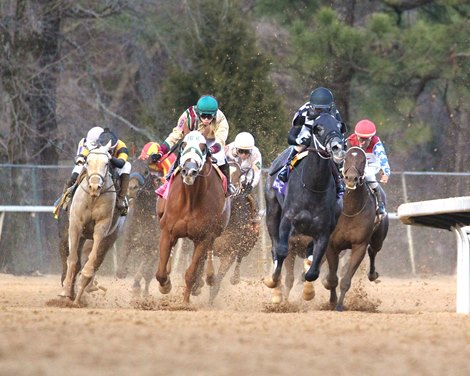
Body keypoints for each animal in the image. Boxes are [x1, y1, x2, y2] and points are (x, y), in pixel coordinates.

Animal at [114, 156, 164, 296]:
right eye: (131, 169)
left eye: (146, 171)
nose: (132, 188)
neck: (144, 217)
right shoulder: (128, 240)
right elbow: (120, 270)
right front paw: (124, 271)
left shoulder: (152, 249)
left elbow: (143, 270)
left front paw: (136, 288)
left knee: (148, 274)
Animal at [156, 131, 231, 304]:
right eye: (183, 145)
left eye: (203, 148)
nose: (189, 171)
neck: (190, 199)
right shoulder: (167, 230)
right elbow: (160, 273)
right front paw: (165, 286)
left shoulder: (204, 237)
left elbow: (191, 273)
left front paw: (185, 302)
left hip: (212, 233)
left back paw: (208, 278)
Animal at [208, 160, 260, 304]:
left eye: (238, 175)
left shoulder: (229, 254)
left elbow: (218, 278)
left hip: (247, 246)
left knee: (240, 258)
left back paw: (235, 278)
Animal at [264, 113, 346, 292]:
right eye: (318, 128)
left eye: (339, 125)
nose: (337, 147)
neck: (313, 187)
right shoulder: (287, 220)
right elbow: (281, 251)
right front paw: (273, 279)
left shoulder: (324, 232)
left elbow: (312, 272)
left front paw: (308, 289)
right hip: (272, 212)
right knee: (274, 246)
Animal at [324, 147, 390, 312]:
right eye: (346, 158)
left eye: (362, 160)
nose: (351, 178)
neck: (349, 210)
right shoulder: (331, 244)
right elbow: (332, 278)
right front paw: (332, 300)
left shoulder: (359, 245)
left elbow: (345, 280)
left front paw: (339, 305)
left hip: (378, 238)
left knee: (373, 250)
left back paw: (373, 275)